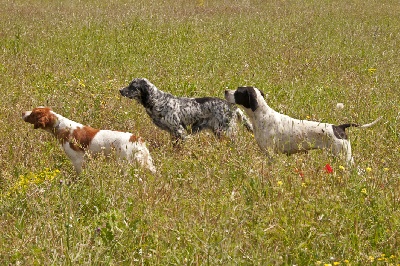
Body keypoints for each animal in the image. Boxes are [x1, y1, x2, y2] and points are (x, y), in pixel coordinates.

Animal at [21, 107, 156, 174]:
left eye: (33, 113)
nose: (22, 112)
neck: (61, 127)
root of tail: (136, 138)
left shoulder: (77, 159)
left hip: (125, 163)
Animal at [119, 78, 252, 142]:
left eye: (132, 86)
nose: (120, 90)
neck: (158, 100)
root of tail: (232, 106)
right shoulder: (173, 133)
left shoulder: (179, 130)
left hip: (225, 130)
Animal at [225, 87, 382, 164]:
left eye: (238, 92)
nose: (225, 91)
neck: (261, 115)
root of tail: (338, 127)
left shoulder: (271, 155)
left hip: (344, 157)